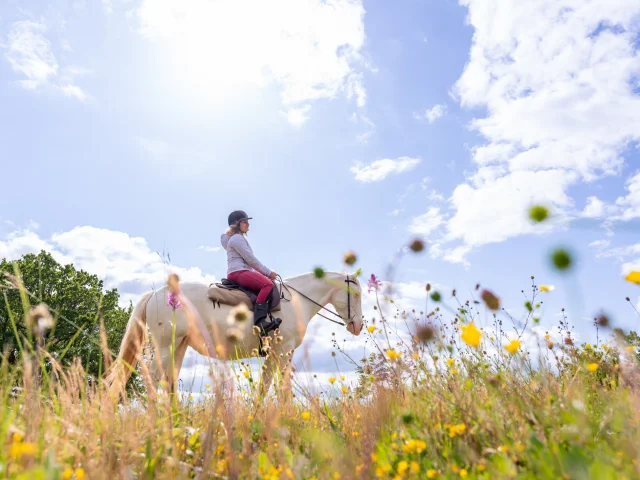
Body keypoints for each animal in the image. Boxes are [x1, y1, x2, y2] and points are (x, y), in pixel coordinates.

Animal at [107, 272, 362, 396]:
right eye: (357, 295)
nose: (358, 325)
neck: (296, 301)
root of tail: (155, 294)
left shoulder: (278, 354)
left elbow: (269, 387)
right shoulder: (282, 351)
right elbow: (278, 388)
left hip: (178, 347)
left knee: (168, 381)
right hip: (163, 348)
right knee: (152, 380)